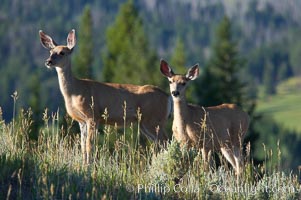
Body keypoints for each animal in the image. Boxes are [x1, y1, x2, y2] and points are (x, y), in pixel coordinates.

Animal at [39, 29, 171, 164]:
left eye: (62, 52)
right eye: (50, 51)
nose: (48, 61)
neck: (75, 91)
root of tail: (167, 97)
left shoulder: (93, 115)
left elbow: (89, 145)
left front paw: (89, 165)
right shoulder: (81, 120)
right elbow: (82, 145)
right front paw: (84, 164)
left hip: (153, 119)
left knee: (167, 141)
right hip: (146, 123)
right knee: (162, 143)